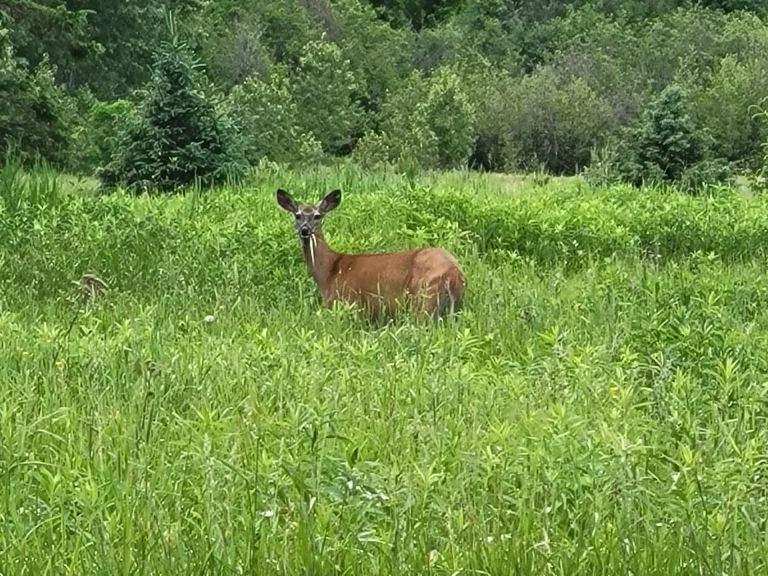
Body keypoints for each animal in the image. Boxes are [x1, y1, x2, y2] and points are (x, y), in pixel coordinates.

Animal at [276, 188, 466, 321]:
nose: (305, 230)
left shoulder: (344, 302)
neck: (328, 273)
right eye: (297, 215)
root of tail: (454, 273)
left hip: (423, 299)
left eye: (317, 216)